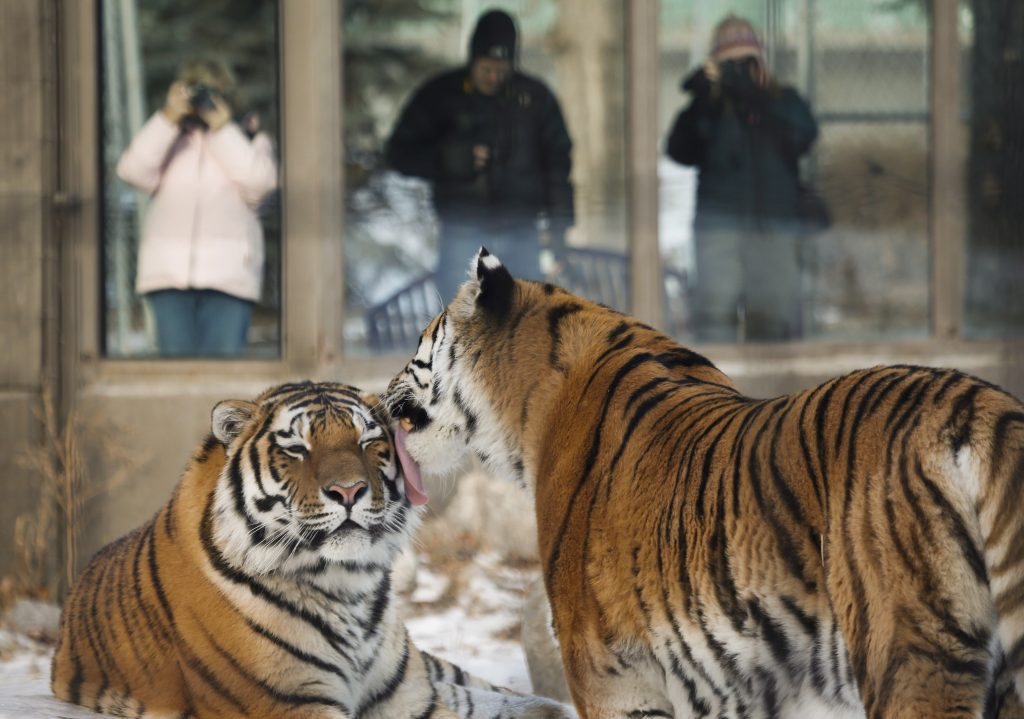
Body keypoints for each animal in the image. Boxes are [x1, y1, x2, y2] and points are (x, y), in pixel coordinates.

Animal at [51, 381, 577, 716]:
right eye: (296, 449)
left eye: (368, 441)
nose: (348, 491)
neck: (348, 585)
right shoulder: (289, 703)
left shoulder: (412, 698)